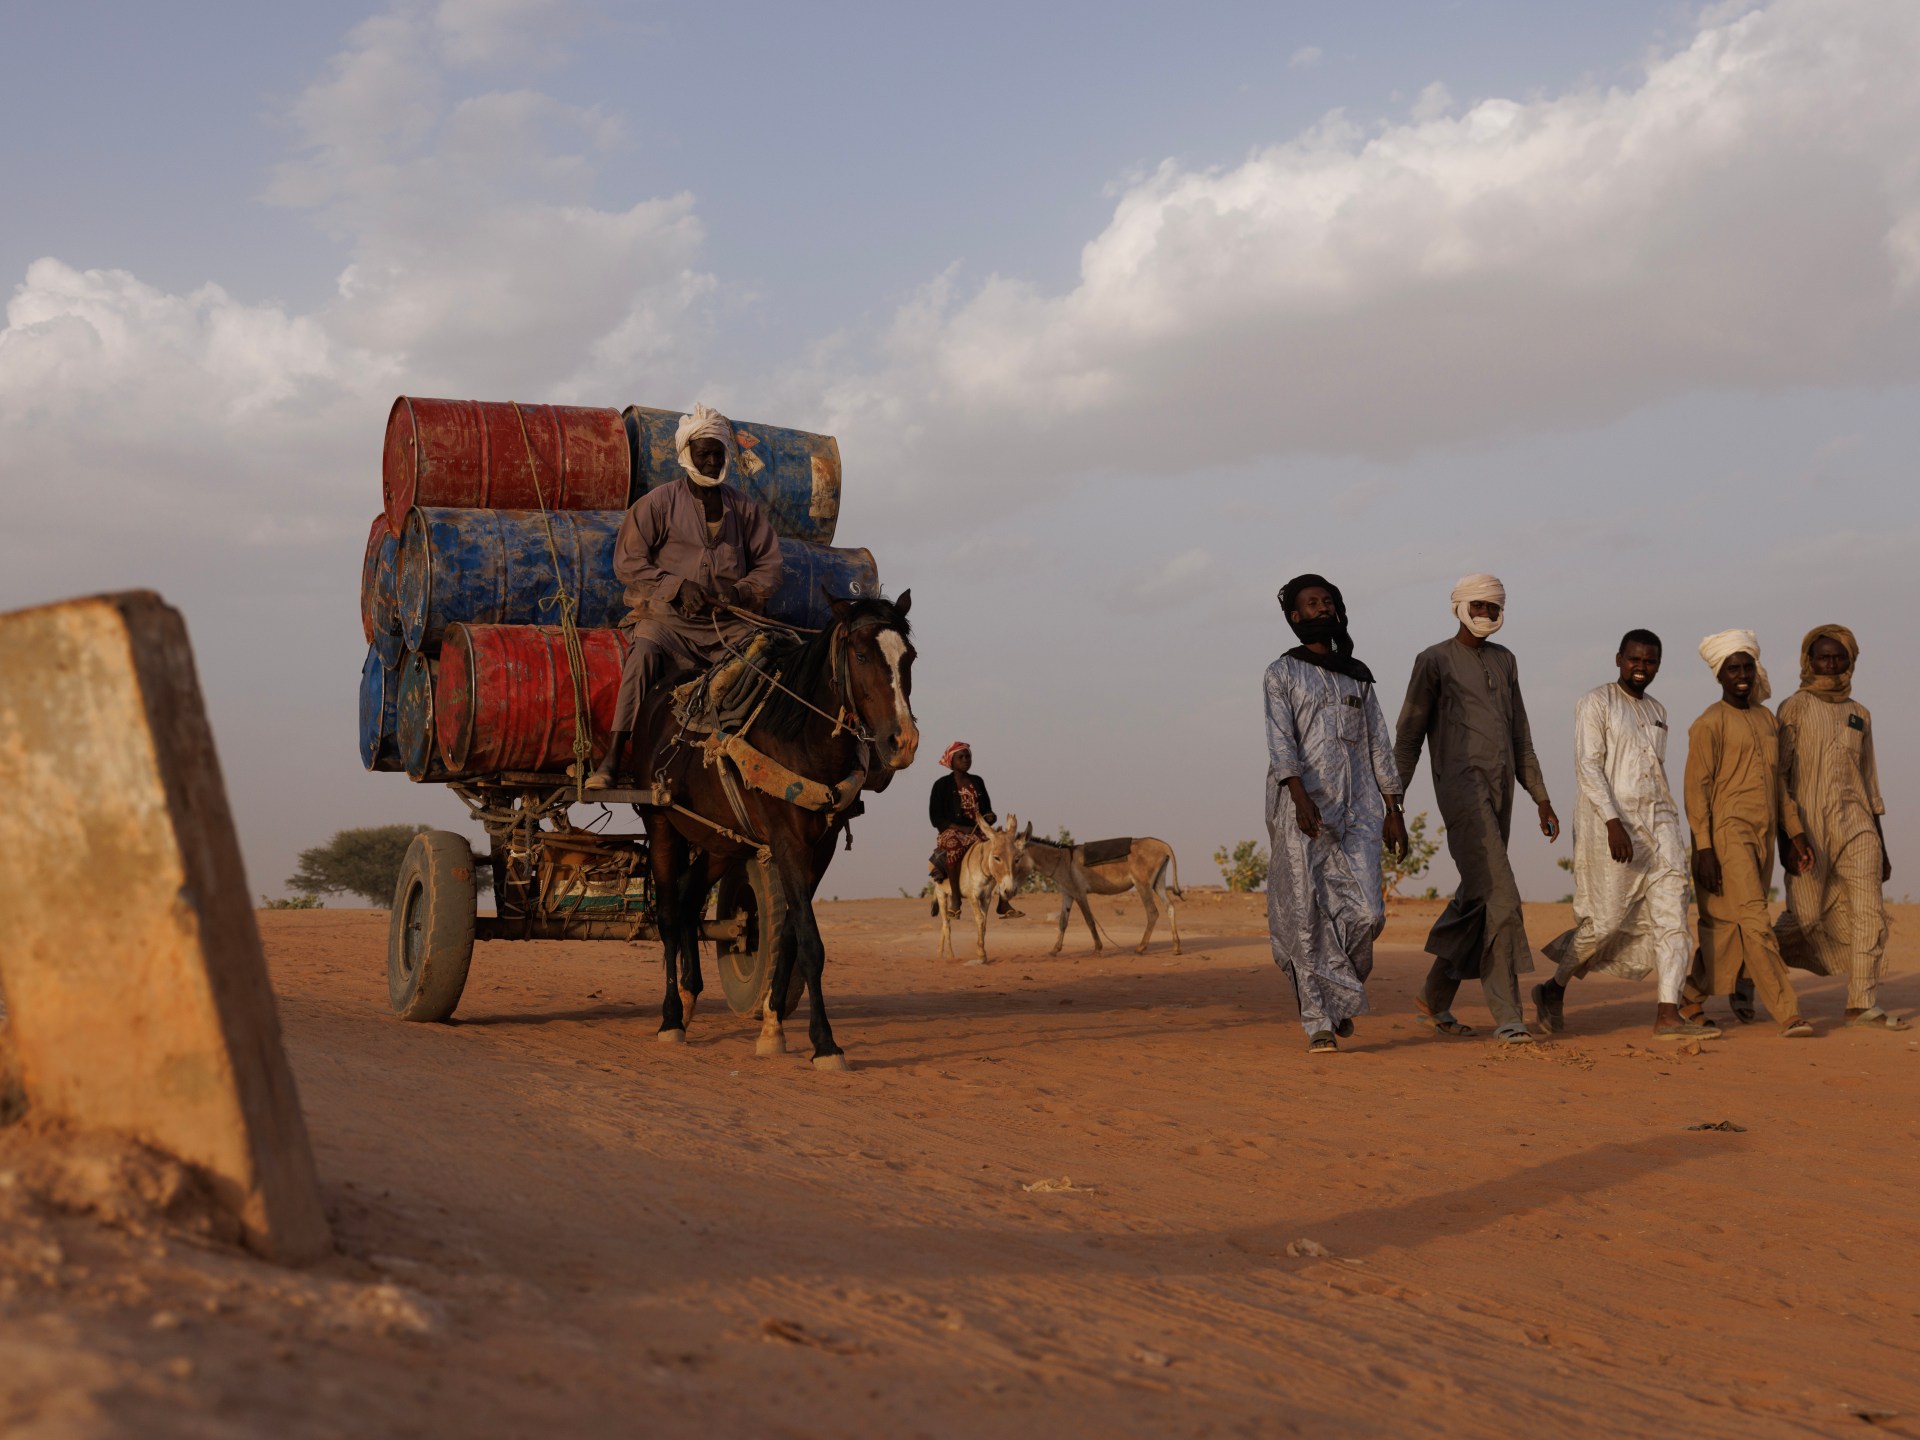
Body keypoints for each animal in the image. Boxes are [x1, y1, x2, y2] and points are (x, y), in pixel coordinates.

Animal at [637, 587, 921, 1075]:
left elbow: (788, 935)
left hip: (721, 841)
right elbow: (811, 941)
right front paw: (825, 1043)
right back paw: (672, 1017)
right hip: (661, 823)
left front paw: (772, 1026)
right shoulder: (787, 843)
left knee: (691, 899)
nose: (902, 742)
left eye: (910, 658)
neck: (802, 740)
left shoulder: (820, 849)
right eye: (861, 654)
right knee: (671, 915)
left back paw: (691, 998)